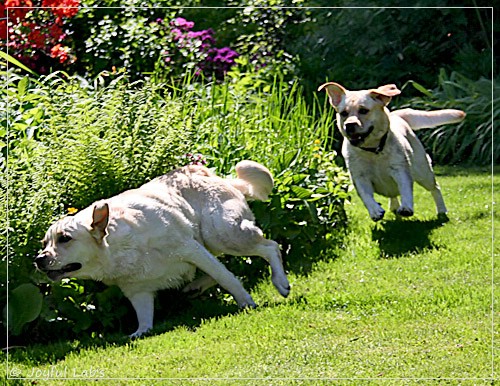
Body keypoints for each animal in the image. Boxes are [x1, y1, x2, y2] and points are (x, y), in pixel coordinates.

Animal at [36, 160, 290, 334]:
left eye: (65, 238)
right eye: (45, 243)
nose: (39, 260)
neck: (116, 249)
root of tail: (215, 176)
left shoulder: (189, 248)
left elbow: (227, 278)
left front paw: (246, 302)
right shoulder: (137, 291)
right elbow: (144, 321)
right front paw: (138, 333)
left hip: (223, 233)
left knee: (270, 246)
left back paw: (281, 282)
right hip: (213, 240)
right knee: (224, 261)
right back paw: (195, 286)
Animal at [318, 81, 466, 220]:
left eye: (363, 110)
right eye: (344, 113)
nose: (349, 125)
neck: (373, 151)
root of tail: (396, 116)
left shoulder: (400, 170)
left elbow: (406, 189)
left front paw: (406, 207)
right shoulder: (359, 177)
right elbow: (366, 196)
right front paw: (375, 211)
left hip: (423, 172)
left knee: (435, 188)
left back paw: (441, 210)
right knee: (392, 194)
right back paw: (394, 206)